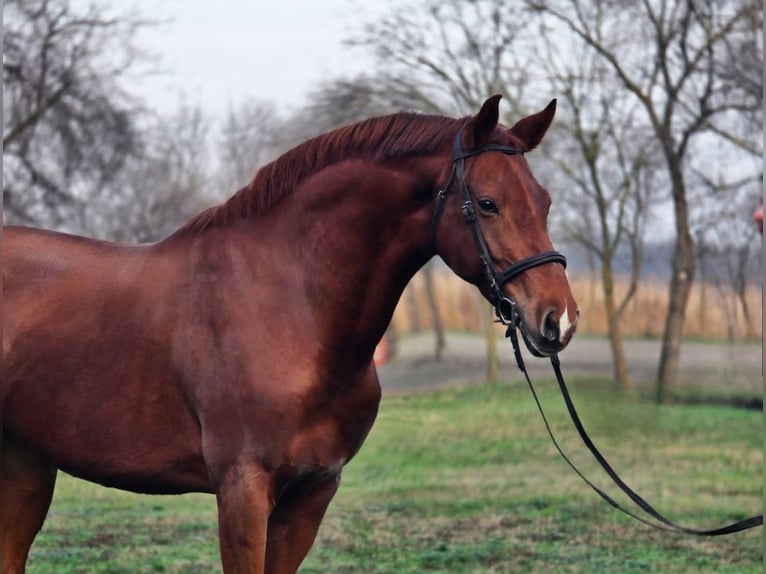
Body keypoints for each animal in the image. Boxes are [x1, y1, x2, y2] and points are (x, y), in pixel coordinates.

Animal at [1, 95, 579, 574]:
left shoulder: (311, 495)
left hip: (26, 467)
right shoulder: (243, 493)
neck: (289, 307)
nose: (559, 318)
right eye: (487, 203)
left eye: (546, 201)